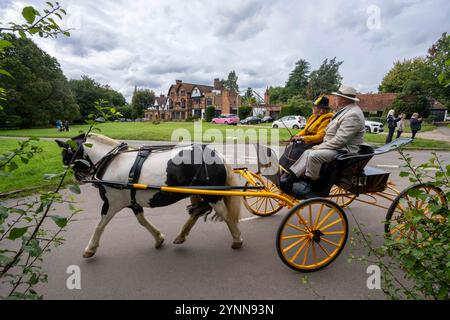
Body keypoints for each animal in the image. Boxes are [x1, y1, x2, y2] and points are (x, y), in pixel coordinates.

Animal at [56, 134, 243, 258]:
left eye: (67, 158)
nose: (78, 178)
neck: (112, 161)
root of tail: (218, 155)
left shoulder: (112, 203)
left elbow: (100, 225)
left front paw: (91, 248)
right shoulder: (132, 201)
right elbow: (142, 221)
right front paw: (159, 237)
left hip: (212, 196)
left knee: (225, 215)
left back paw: (237, 239)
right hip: (199, 193)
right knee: (198, 211)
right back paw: (181, 236)